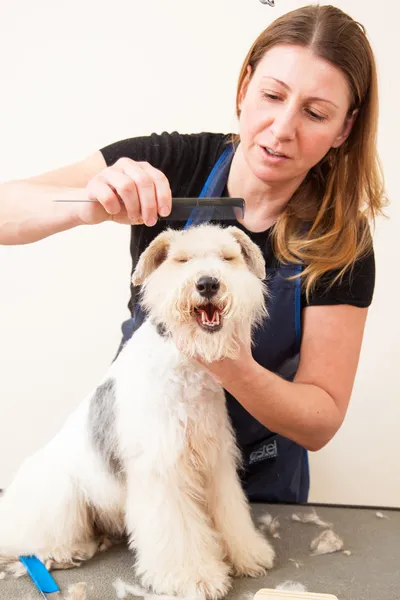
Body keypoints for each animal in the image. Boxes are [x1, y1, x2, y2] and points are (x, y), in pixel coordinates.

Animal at [0, 224, 276, 596]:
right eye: (181, 260)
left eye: (227, 257)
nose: (207, 284)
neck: (186, 366)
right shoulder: (164, 470)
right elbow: (180, 533)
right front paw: (195, 577)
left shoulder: (215, 463)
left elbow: (231, 516)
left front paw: (248, 554)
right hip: (60, 497)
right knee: (32, 542)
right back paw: (68, 551)